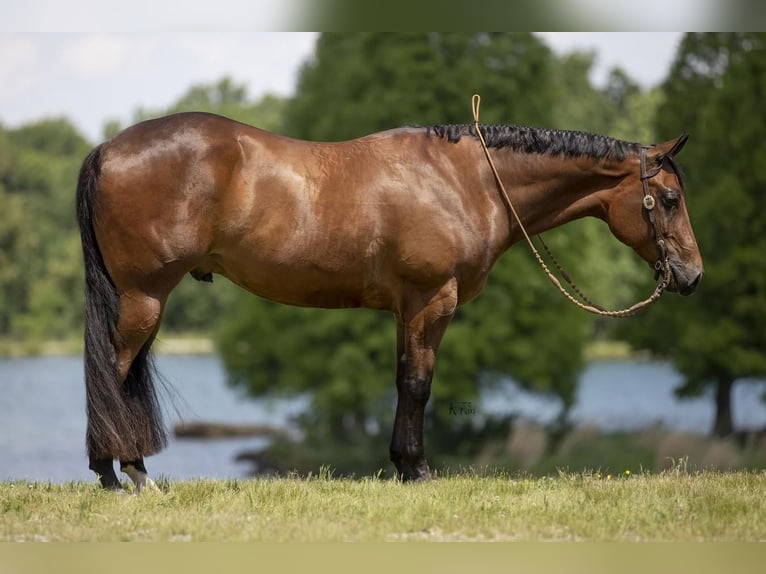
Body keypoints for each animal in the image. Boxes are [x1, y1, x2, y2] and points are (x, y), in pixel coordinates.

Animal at [75, 108, 704, 490]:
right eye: (670, 198)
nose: (693, 275)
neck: (466, 179)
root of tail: (108, 148)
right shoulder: (432, 300)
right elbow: (419, 385)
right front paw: (418, 470)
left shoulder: (408, 308)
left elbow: (405, 381)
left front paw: (402, 465)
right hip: (144, 296)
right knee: (114, 371)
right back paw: (120, 473)